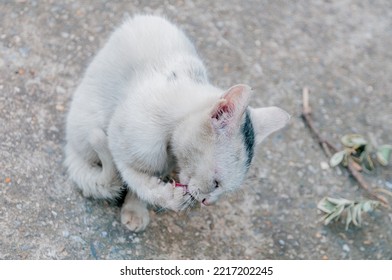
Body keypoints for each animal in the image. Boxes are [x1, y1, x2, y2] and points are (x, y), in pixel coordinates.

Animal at [65, 15, 290, 233]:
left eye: (223, 189)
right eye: (216, 182)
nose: (207, 202)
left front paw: (136, 207)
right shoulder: (120, 141)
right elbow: (136, 179)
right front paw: (167, 198)